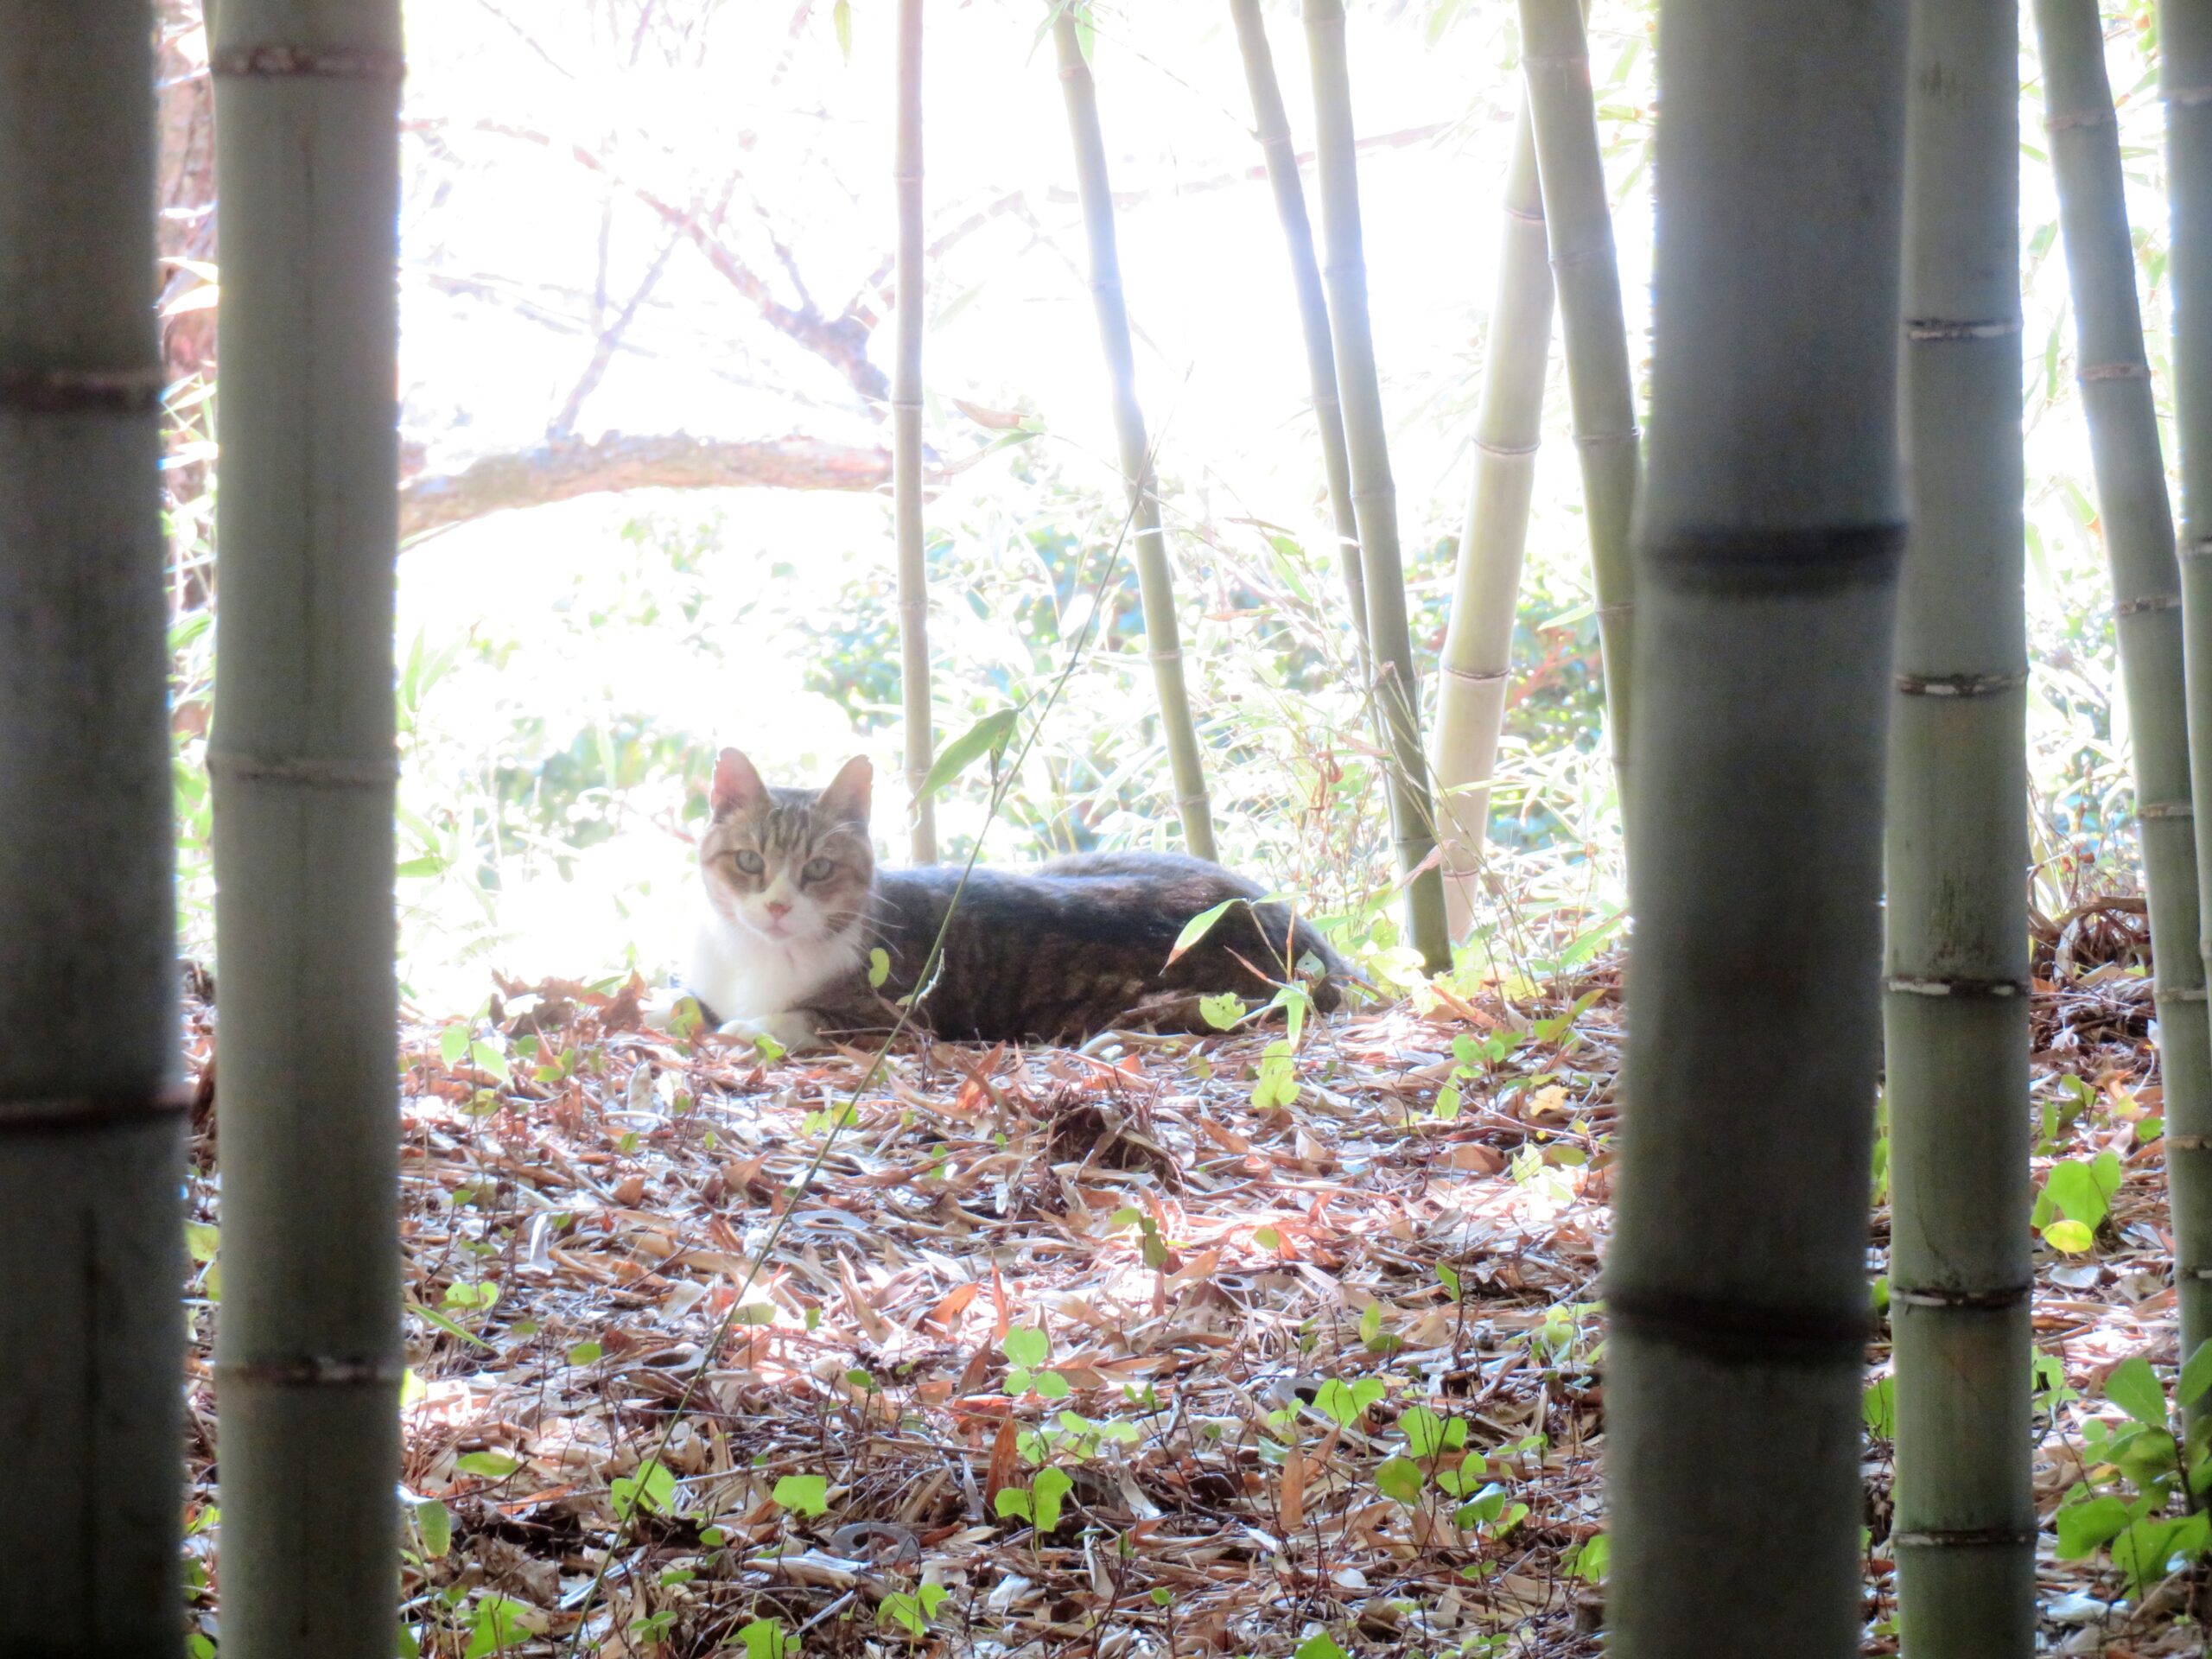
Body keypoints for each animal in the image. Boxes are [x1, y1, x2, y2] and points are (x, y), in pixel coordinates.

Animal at [677, 752, 1344, 1052]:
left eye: (818, 868)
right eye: (749, 862)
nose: (777, 907)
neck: (755, 956)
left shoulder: (898, 1022)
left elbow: (797, 1019)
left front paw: (744, 1027)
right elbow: (686, 1003)